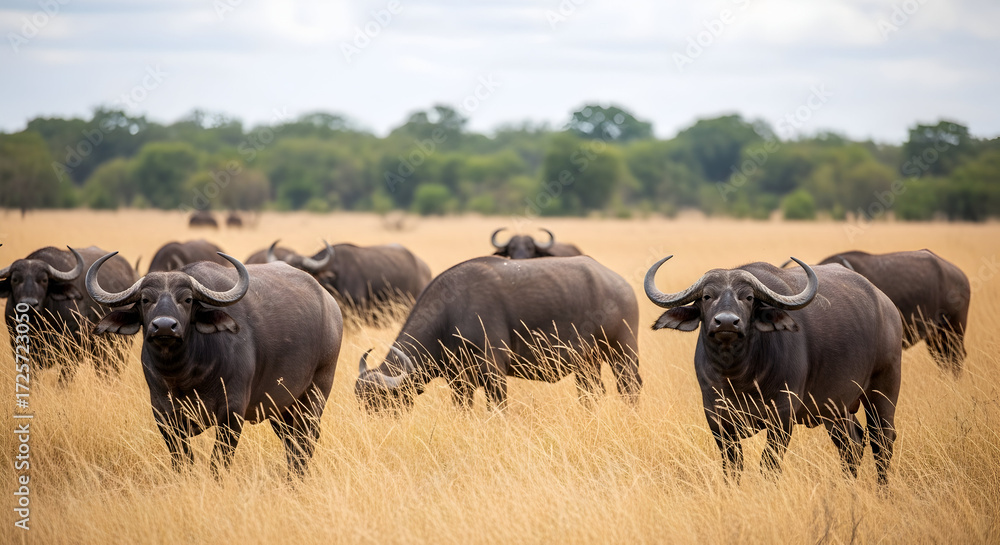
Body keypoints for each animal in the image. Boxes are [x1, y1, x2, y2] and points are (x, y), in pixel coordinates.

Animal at [87, 253, 343, 476]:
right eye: (145, 299)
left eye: (187, 299)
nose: (164, 326)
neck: (184, 375)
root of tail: (331, 306)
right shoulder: (163, 415)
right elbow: (182, 461)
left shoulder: (232, 413)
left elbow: (218, 462)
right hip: (281, 408)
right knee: (292, 442)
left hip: (314, 394)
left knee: (305, 441)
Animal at [355, 256, 641, 411]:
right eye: (363, 405)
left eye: (380, 402)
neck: (450, 314)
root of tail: (621, 285)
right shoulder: (459, 382)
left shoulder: (494, 373)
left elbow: (498, 409)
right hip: (587, 364)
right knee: (592, 393)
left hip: (623, 353)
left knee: (630, 387)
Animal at [645, 256, 902, 484]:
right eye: (707, 296)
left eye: (748, 297)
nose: (726, 322)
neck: (738, 377)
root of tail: (887, 306)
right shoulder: (716, 417)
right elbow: (732, 466)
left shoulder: (782, 416)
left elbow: (769, 465)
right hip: (836, 408)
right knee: (853, 445)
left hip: (883, 389)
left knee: (882, 442)